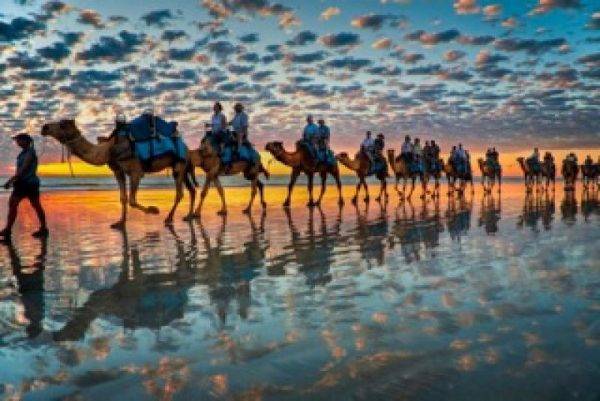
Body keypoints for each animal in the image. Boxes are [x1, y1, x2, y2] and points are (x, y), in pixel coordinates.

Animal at [42, 119, 197, 227]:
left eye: (62, 124)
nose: (44, 127)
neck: (108, 149)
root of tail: (187, 148)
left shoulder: (135, 171)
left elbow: (132, 200)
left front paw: (153, 210)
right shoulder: (118, 171)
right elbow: (123, 198)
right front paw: (120, 222)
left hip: (179, 164)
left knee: (180, 192)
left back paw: (169, 218)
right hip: (183, 168)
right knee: (191, 189)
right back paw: (189, 215)